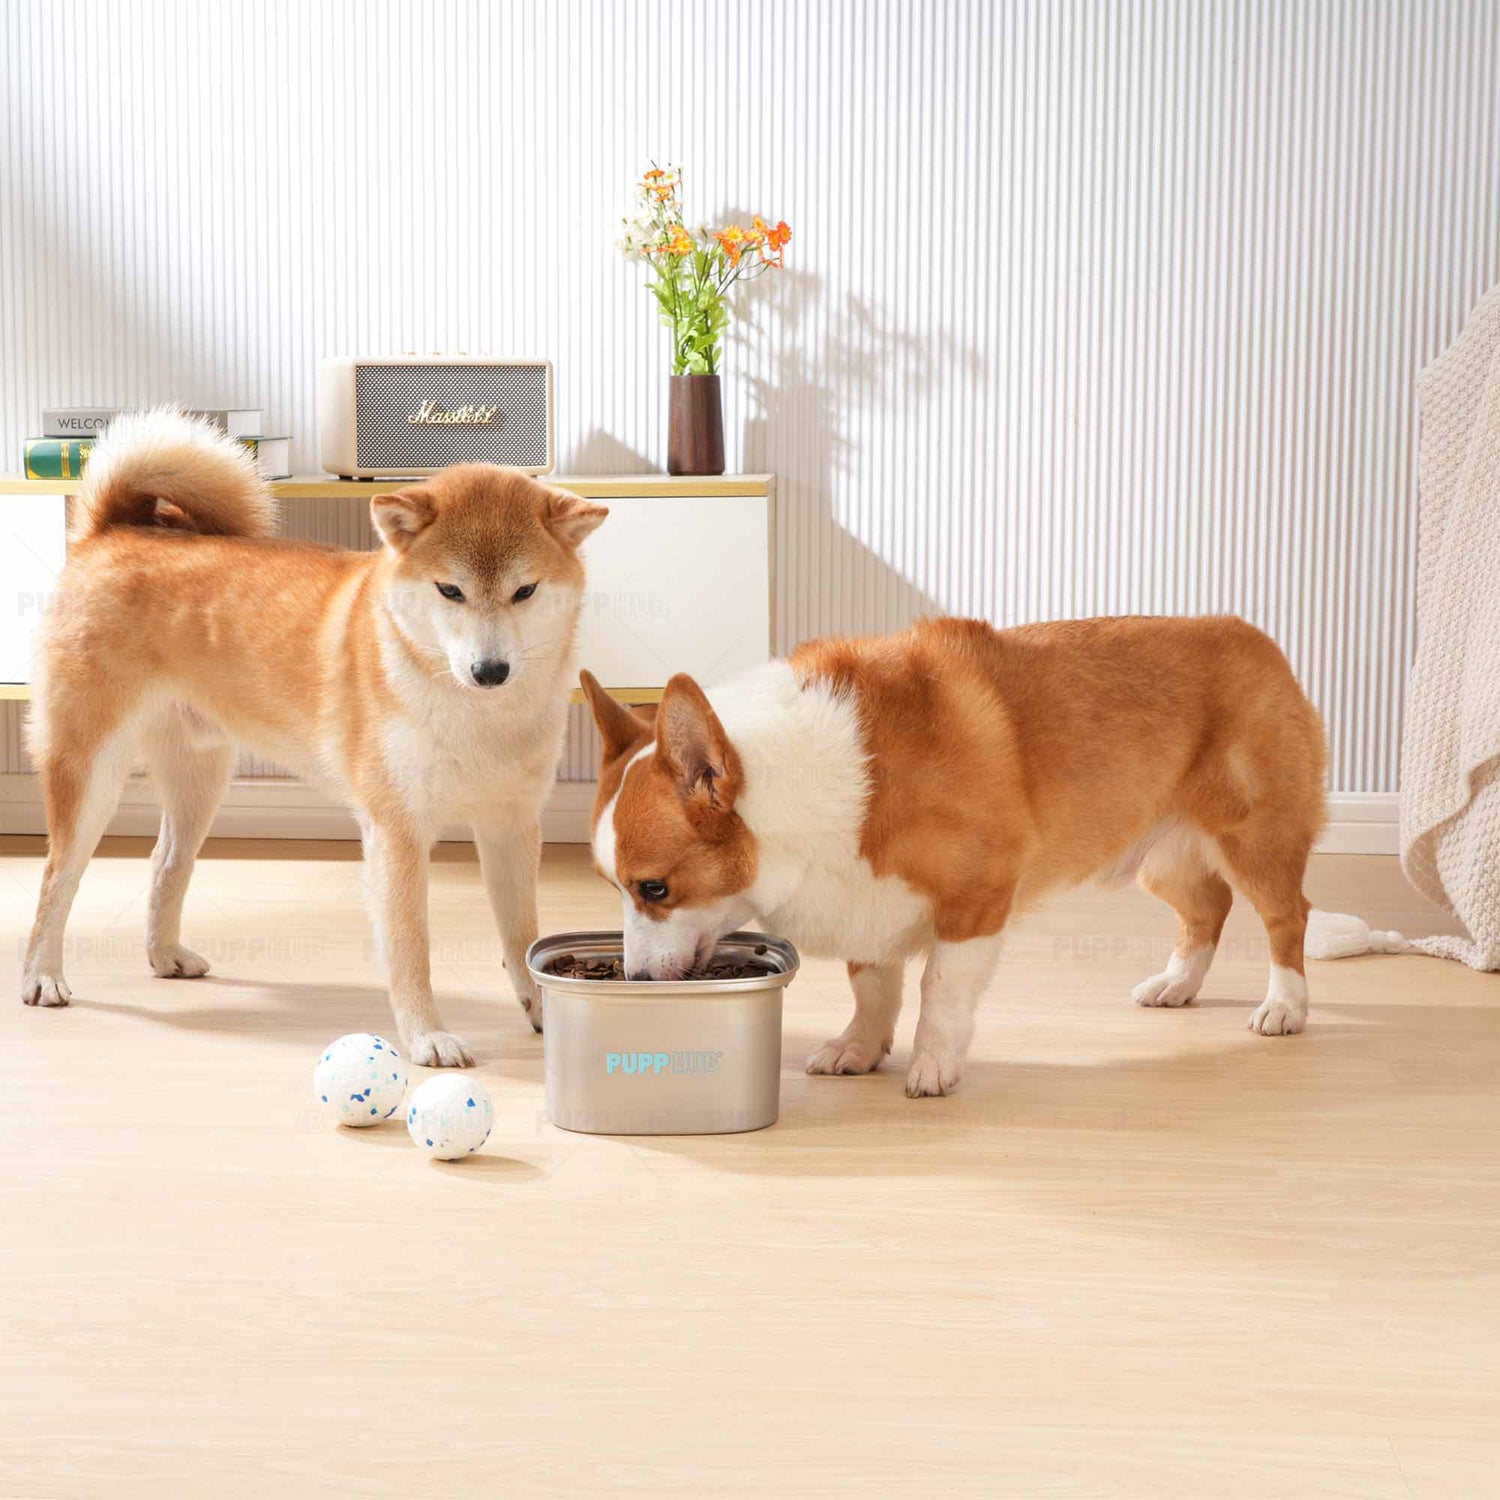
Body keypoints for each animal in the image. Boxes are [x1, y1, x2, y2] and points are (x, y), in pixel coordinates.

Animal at [17, 408, 603, 1068]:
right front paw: (426, 1036)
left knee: (167, 861)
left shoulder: (511, 823)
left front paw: (545, 1011)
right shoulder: (396, 831)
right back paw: (42, 975)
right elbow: (411, 948)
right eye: (449, 590)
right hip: (90, 768)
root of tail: (108, 532)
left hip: (201, 776)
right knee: (58, 877)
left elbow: (521, 933)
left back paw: (164, 957)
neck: (478, 716)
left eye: (525, 591)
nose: (490, 671)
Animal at [582, 618, 1326, 1104]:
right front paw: (858, 1049)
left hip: (1254, 840)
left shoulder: (977, 898)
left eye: (655, 888)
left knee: (1287, 915)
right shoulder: (865, 902)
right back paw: (1177, 984)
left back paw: (1284, 1007)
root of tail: (1260, 638)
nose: (636, 980)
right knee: (1209, 908)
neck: (798, 782)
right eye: (615, 887)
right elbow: (872, 988)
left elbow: (939, 991)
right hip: (1161, 859)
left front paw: (932, 1067)